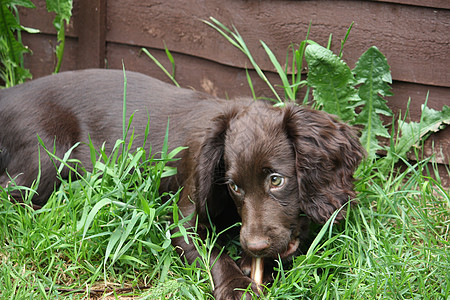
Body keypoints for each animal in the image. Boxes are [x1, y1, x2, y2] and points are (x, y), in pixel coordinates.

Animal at [0, 68, 366, 300]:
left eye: (277, 180)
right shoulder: (183, 220)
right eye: (234, 187)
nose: (254, 247)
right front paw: (237, 286)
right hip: (49, 158)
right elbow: (213, 252)